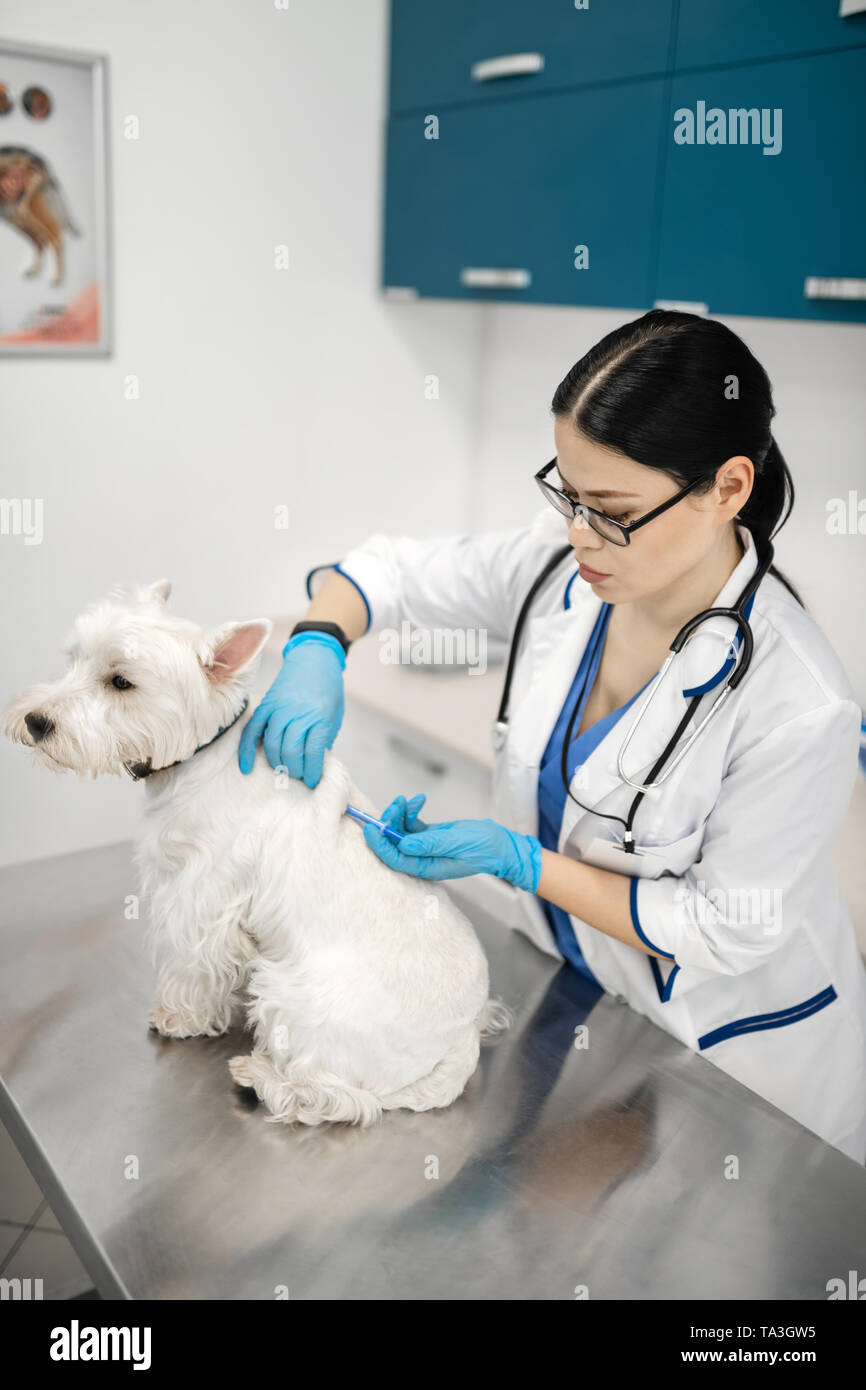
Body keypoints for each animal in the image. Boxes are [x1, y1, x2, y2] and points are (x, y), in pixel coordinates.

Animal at [6, 581, 508, 1123]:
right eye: (73, 660)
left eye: (121, 682)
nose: (35, 721)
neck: (203, 754)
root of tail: (460, 1039)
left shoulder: (201, 900)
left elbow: (191, 966)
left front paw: (178, 1016)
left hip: (297, 998)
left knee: (335, 1095)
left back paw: (263, 1075)